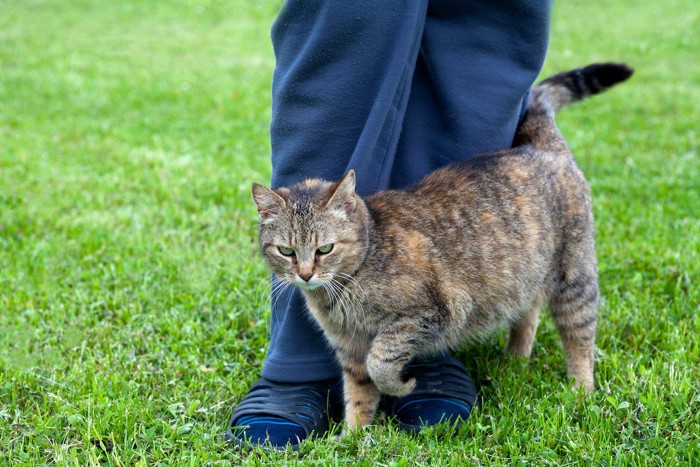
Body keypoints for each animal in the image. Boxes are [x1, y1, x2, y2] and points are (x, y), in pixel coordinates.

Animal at [253, 64, 636, 434]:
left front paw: (401, 386)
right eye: (287, 251)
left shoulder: (434, 312)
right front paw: (353, 438)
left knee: (580, 337)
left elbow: (381, 361)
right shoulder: (350, 346)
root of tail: (542, 146)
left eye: (325, 249)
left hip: (574, 277)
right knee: (529, 312)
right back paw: (515, 359)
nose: (305, 274)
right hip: (524, 274)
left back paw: (580, 390)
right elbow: (359, 394)